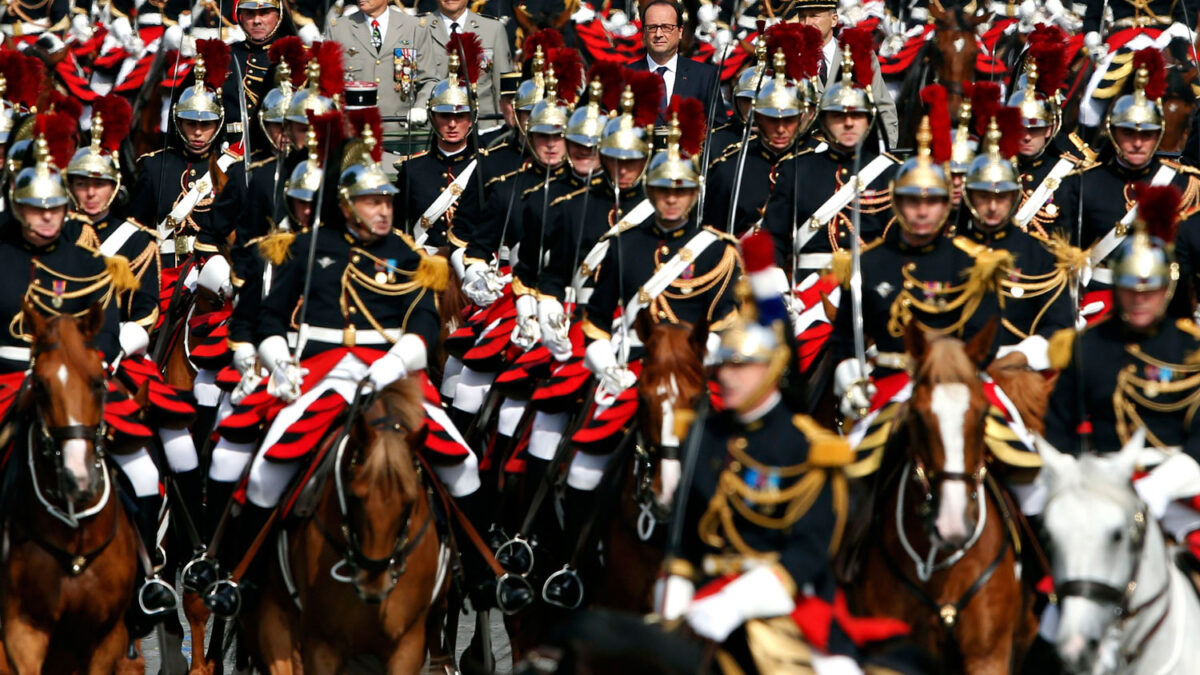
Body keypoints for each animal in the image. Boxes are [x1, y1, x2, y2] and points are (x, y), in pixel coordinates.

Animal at [0, 302, 139, 667]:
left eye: (98, 383)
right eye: (40, 386)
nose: (78, 478)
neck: (77, 535)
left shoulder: (109, 637)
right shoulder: (21, 632)